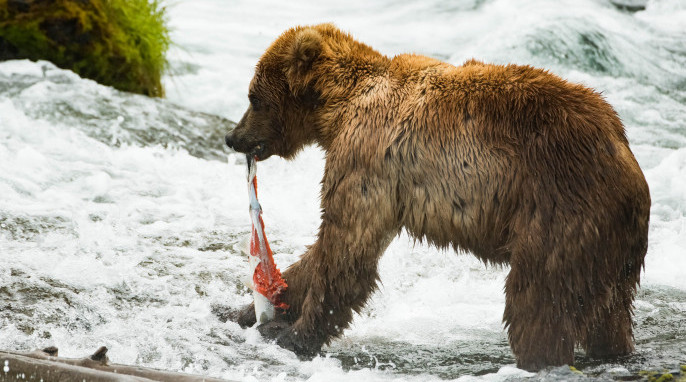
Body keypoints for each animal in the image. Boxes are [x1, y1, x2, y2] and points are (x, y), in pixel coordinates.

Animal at [224, 23, 652, 370]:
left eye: (253, 97)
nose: (232, 137)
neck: (337, 108)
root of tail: (628, 163)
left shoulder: (366, 157)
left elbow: (346, 250)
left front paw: (292, 336)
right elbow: (324, 253)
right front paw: (243, 312)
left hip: (560, 212)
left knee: (536, 302)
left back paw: (538, 357)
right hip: (612, 254)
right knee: (609, 315)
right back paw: (613, 352)